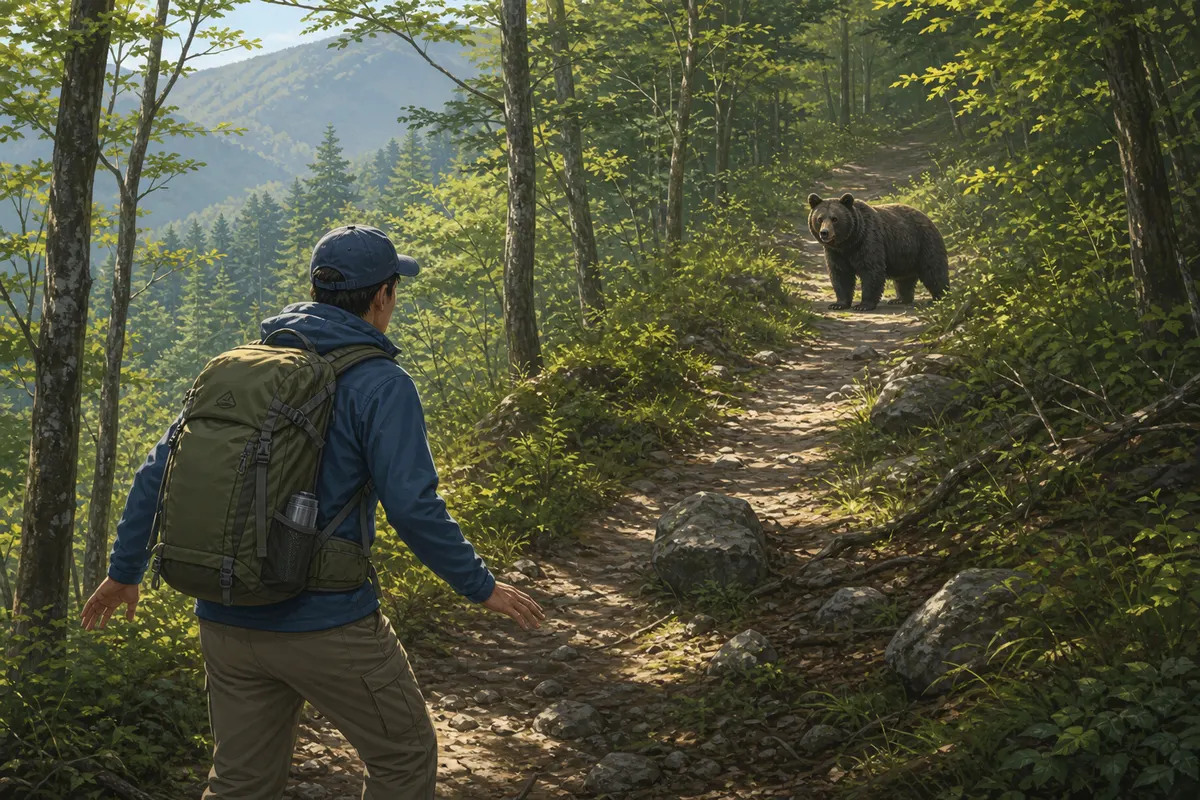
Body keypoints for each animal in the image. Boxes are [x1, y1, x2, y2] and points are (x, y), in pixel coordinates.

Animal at [807, 193, 950, 311]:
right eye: (819, 219)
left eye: (834, 219)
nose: (824, 233)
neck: (849, 242)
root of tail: (929, 219)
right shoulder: (836, 253)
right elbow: (841, 274)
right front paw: (838, 304)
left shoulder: (868, 240)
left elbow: (871, 271)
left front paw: (863, 305)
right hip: (905, 254)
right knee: (904, 279)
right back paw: (900, 299)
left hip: (924, 243)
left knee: (934, 271)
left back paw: (940, 297)